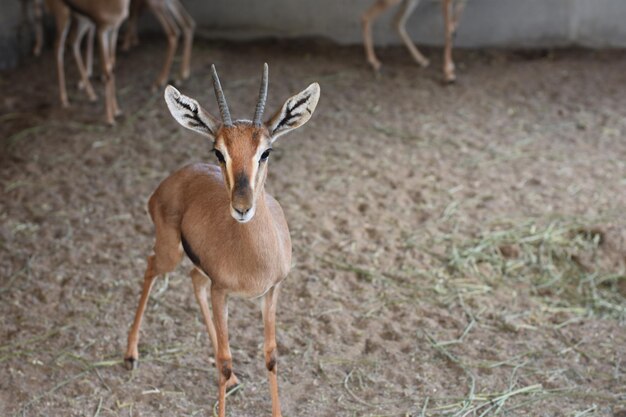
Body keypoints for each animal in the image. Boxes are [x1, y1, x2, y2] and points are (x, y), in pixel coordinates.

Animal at [122, 64, 320, 416]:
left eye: (266, 151)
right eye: (219, 152)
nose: (242, 207)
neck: (253, 260)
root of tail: (173, 178)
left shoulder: (273, 290)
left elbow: (271, 357)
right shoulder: (221, 291)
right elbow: (226, 361)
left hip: (198, 268)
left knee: (192, 279)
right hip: (170, 253)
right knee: (150, 267)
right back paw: (131, 355)